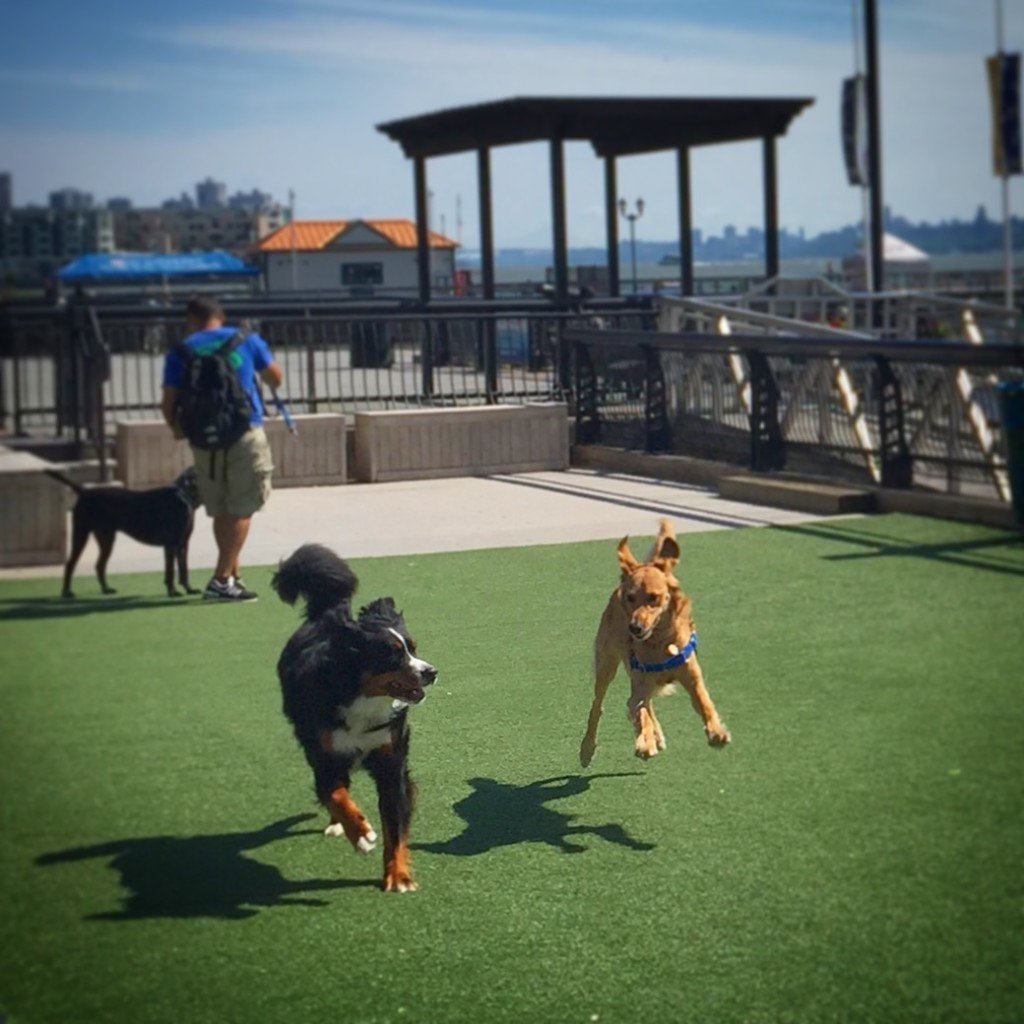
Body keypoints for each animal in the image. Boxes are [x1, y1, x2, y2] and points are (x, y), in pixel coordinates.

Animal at [46, 466, 201, 598]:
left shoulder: (183, 544)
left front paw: (189, 589)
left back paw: (106, 589)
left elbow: (184, 570)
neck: (183, 494)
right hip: (81, 535)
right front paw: (173, 592)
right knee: (70, 564)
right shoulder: (171, 544)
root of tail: (85, 491)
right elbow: (171, 572)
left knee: (99, 565)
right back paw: (67, 592)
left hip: (106, 539)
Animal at [272, 544, 436, 897]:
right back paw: (339, 825)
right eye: (392, 654)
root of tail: (328, 614)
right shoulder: (325, 757)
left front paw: (398, 876)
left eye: (413, 648)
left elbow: (395, 827)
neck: (362, 698)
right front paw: (359, 833)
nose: (431, 672)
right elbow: (336, 795)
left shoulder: (391, 763)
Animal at [577, 520, 729, 770]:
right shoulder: (639, 682)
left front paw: (716, 731)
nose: (634, 628)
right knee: (599, 707)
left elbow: (704, 701)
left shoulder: (691, 675)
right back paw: (588, 748)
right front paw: (645, 743)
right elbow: (640, 712)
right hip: (606, 665)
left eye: (653, 597)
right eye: (630, 598)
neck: (660, 642)